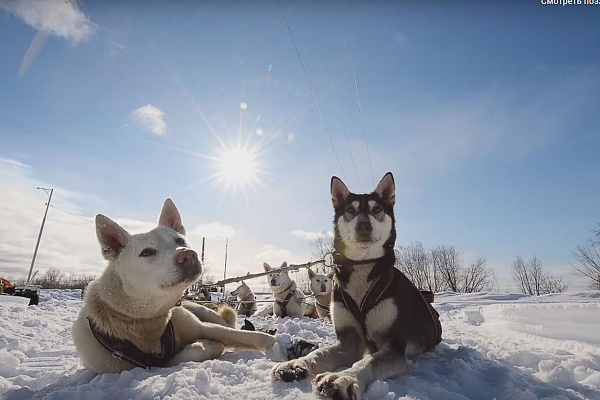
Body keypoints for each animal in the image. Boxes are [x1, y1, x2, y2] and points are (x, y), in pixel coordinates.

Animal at [71, 198, 276, 374]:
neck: (146, 323)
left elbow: (246, 336)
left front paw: (274, 343)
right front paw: (208, 345)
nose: (189, 255)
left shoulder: (204, 327)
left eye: (179, 240)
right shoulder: (139, 366)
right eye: (146, 252)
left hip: (205, 313)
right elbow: (181, 356)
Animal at [272, 173, 440, 400]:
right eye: (350, 210)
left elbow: (369, 361)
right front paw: (297, 363)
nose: (363, 226)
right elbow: (320, 352)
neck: (362, 267)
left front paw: (343, 378)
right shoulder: (348, 341)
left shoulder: (394, 345)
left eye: (377, 209)